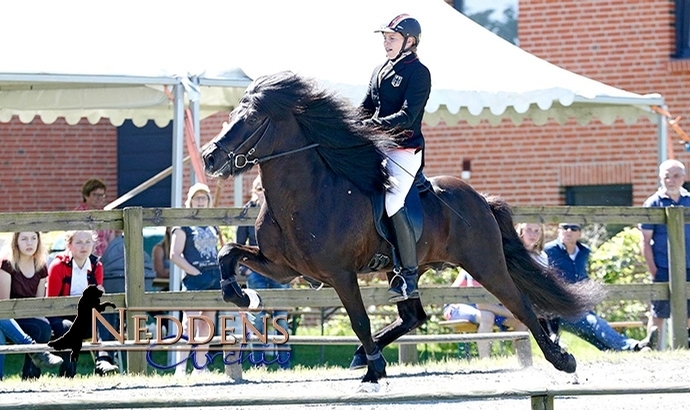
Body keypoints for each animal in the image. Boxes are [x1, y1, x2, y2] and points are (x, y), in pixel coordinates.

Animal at [202, 70, 600, 388]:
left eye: (252, 119)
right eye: (232, 115)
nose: (208, 157)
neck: (306, 194)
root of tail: (480, 198)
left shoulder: (339, 274)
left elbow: (359, 321)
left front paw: (376, 371)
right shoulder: (283, 268)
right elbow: (227, 253)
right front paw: (240, 296)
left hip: (485, 264)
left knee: (521, 305)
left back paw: (563, 360)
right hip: (411, 268)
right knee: (415, 315)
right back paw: (363, 354)